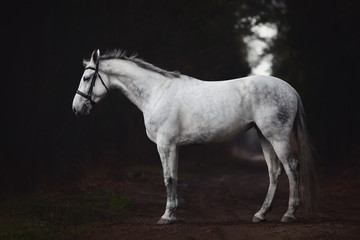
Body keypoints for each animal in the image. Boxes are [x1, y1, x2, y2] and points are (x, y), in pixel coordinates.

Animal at [72, 49, 316, 225]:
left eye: (87, 77)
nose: (76, 108)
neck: (157, 92)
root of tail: (291, 89)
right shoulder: (174, 146)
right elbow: (174, 177)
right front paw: (173, 213)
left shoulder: (165, 144)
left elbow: (168, 178)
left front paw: (166, 216)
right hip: (264, 136)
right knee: (274, 172)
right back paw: (261, 214)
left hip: (277, 137)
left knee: (291, 167)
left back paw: (289, 214)